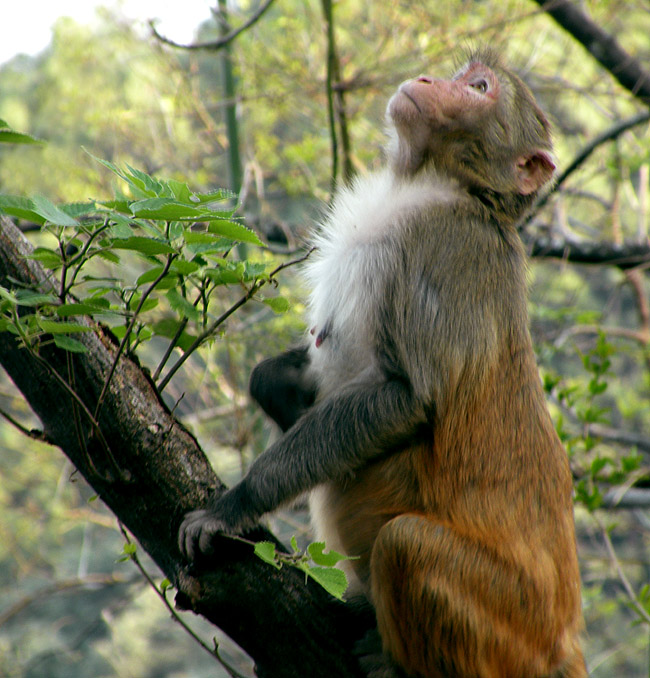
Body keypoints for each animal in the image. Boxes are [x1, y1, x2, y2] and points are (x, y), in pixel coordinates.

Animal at [180, 49, 584, 678]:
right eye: (463, 76)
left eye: (479, 88)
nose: (427, 80)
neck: (437, 182)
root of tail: (561, 641)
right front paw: (278, 385)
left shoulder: (449, 249)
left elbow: (412, 396)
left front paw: (236, 503)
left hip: (505, 626)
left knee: (406, 544)